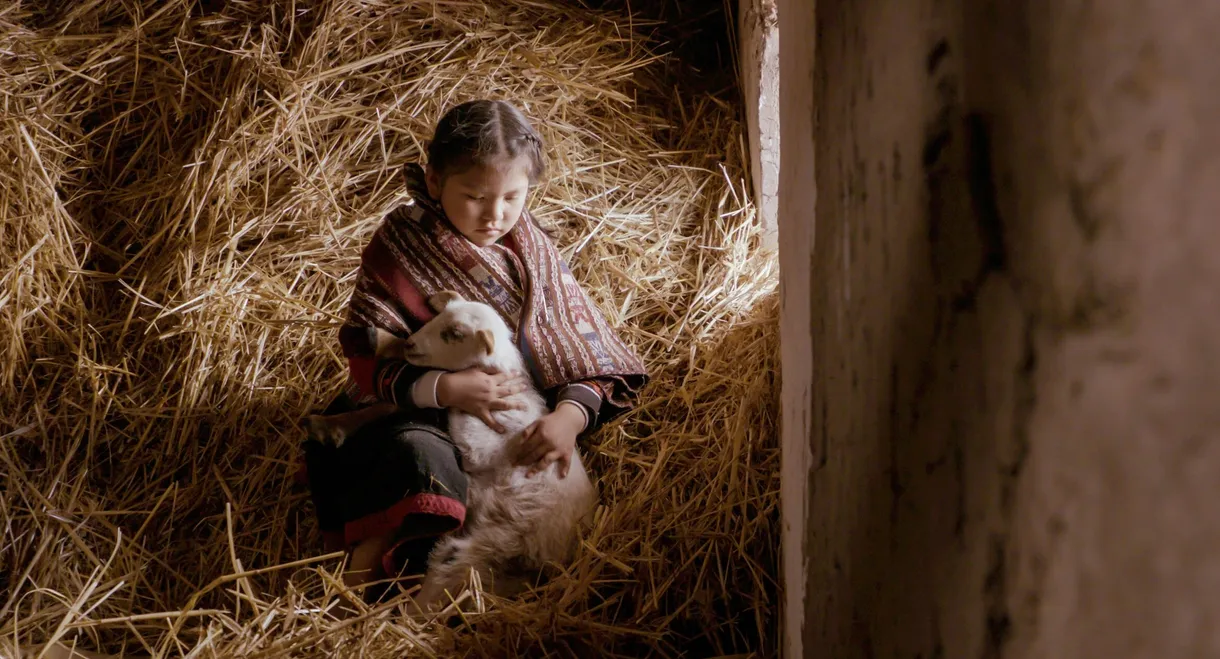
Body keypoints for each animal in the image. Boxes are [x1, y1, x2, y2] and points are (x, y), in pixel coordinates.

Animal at [307, 290, 597, 610]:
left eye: (454, 334)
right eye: (436, 318)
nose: (412, 343)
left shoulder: (479, 437)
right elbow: (396, 402)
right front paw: (328, 424)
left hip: (483, 550)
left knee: (431, 598)